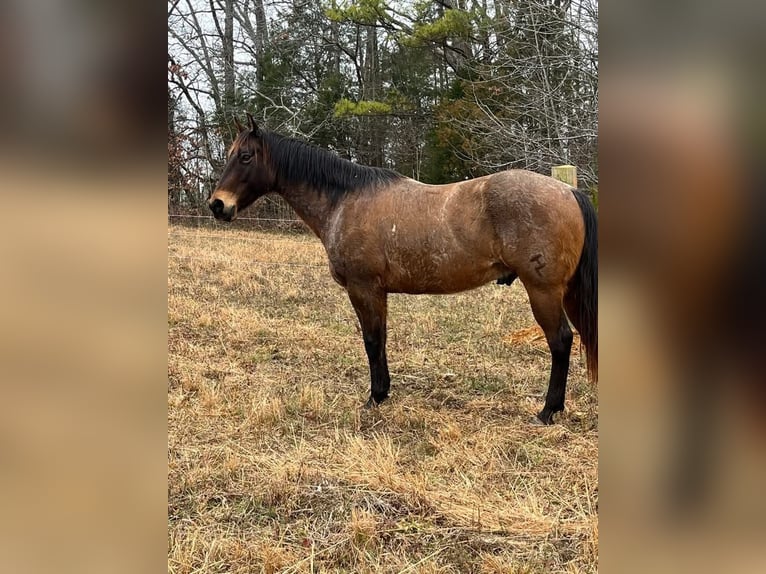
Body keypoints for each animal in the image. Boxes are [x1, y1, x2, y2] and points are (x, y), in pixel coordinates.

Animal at [208, 113, 600, 428]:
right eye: (229, 154)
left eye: (245, 156)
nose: (217, 205)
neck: (345, 200)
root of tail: (568, 191)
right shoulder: (378, 292)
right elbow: (380, 339)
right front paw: (383, 393)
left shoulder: (363, 288)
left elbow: (371, 340)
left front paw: (374, 398)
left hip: (543, 291)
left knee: (560, 341)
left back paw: (548, 411)